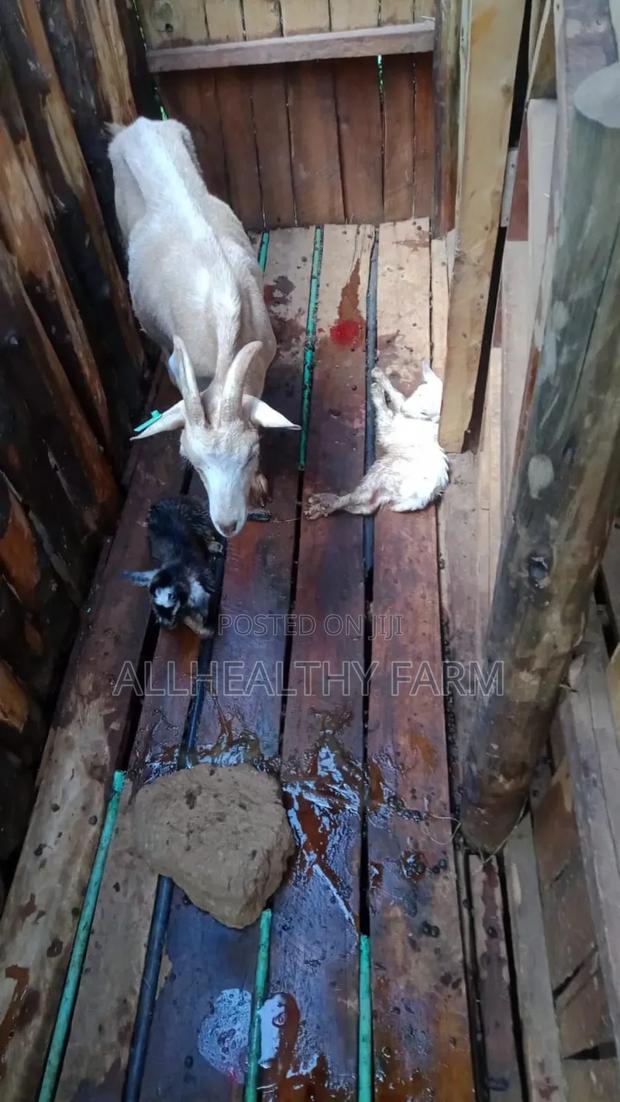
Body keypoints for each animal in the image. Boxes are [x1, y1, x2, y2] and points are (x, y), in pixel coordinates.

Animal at [124, 498, 223, 637]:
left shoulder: (206, 582)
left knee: (205, 529)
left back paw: (212, 544)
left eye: (173, 607)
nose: (165, 625)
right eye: (156, 606)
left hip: (197, 515)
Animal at [305, 362, 449, 518]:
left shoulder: (391, 430)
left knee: (360, 498)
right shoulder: (402, 407)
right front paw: (379, 376)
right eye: (417, 393)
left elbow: (385, 412)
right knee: (367, 506)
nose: (404, 410)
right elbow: (397, 395)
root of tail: (426, 495)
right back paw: (324, 504)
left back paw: (327, 504)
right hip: (387, 486)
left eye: (424, 412)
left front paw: (377, 393)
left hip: (384, 471)